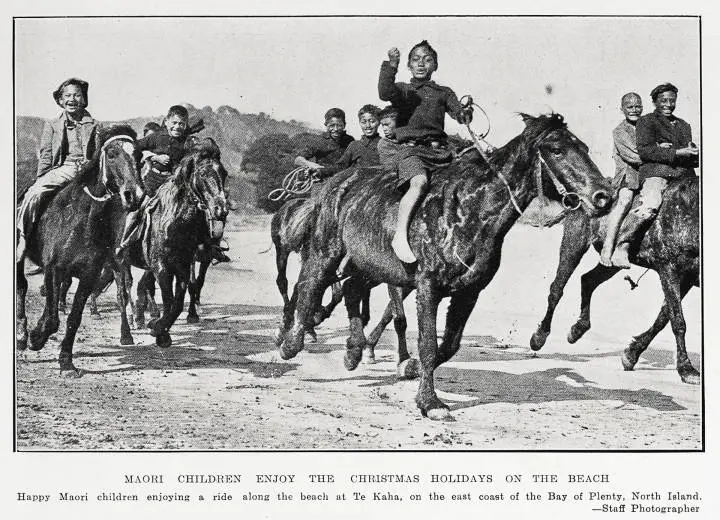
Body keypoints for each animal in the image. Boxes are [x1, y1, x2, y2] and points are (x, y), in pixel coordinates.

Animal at [16, 125, 144, 374]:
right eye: (111, 154)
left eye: (138, 156)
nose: (134, 195)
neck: (80, 218)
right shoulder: (54, 268)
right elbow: (53, 318)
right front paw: (35, 338)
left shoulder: (88, 275)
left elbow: (73, 318)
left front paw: (66, 361)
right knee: (22, 287)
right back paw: (21, 334)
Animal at [128, 140, 229, 348]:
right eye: (203, 174)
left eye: (223, 173)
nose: (221, 210)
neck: (175, 221)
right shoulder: (162, 268)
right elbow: (169, 300)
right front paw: (160, 331)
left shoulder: (185, 265)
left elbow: (180, 299)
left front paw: (160, 326)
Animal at [278, 114, 612, 418]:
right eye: (556, 150)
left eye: (583, 147)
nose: (603, 196)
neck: (469, 210)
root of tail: (335, 183)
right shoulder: (428, 286)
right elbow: (427, 342)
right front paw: (430, 403)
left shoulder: (468, 292)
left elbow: (448, 346)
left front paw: (409, 368)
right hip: (327, 251)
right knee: (309, 284)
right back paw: (290, 342)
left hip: (369, 264)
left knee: (349, 289)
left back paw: (353, 351)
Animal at [524, 177, 700, 384]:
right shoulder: (669, 270)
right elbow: (677, 321)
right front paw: (687, 369)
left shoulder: (686, 278)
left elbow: (663, 318)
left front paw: (631, 354)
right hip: (574, 241)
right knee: (557, 289)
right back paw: (539, 337)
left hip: (611, 261)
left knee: (588, 280)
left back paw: (578, 329)